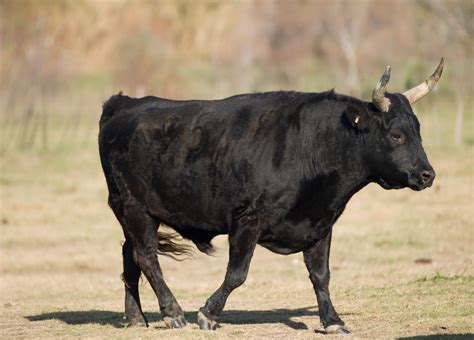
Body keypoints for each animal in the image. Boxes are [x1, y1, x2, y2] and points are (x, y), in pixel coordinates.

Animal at [98, 59, 442, 334]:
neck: (312, 144)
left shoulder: (321, 223)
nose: (427, 175)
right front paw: (209, 314)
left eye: (418, 130)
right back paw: (173, 312)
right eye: (396, 134)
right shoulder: (247, 220)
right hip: (134, 207)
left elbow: (321, 275)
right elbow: (237, 273)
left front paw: (332, 320)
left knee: (131, 255)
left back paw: (136, 317)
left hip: (136, 215)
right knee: (147, 257)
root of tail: (125, 104)